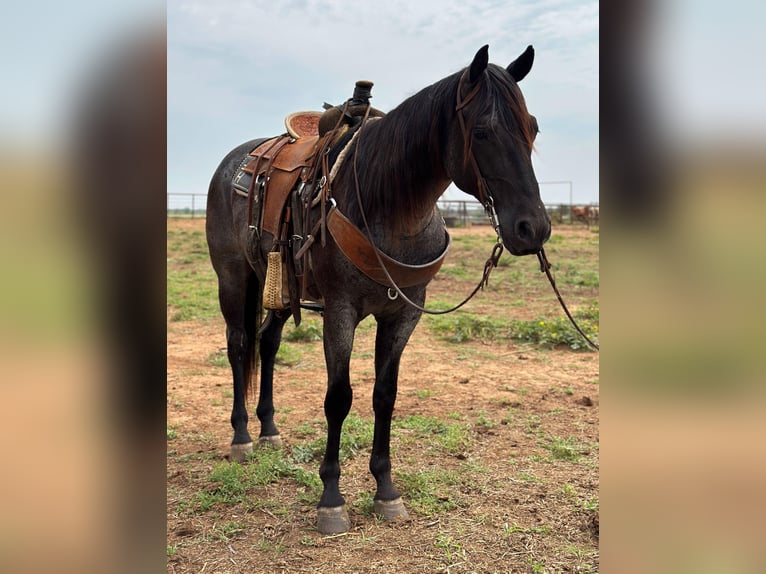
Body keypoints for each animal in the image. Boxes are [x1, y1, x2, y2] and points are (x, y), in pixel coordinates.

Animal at [204, 45, 552, 536]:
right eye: (483, 131)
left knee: (267, 343)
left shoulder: (404, 313)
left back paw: (269, 429)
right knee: (239, 346)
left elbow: (384, 395)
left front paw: (386, 489)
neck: (388, 206)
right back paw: (241, 437)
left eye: (533, 127)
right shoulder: (340, 312)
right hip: (234, 277)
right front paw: (331, 499)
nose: (532, 228)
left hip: (279, 286)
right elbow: (339, 398)